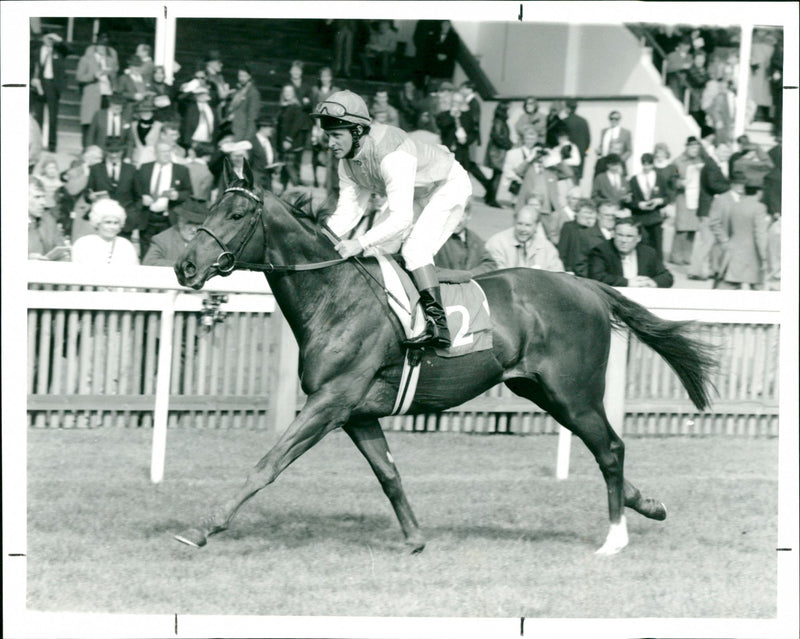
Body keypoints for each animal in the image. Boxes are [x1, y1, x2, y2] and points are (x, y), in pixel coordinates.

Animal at [172, 160, 716, 556]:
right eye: (210, 209)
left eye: (235, 216)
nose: (185, 266)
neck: (335, 295)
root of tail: (584, 284)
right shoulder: (356, 412)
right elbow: (389, 475)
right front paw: (415, 539)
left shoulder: (330, 402)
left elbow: (266, 466)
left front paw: (202, 528)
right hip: (541, 390)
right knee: (605, 449)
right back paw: (647, 504)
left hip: (574, 391)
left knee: (611, 448)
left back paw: (615, 538)